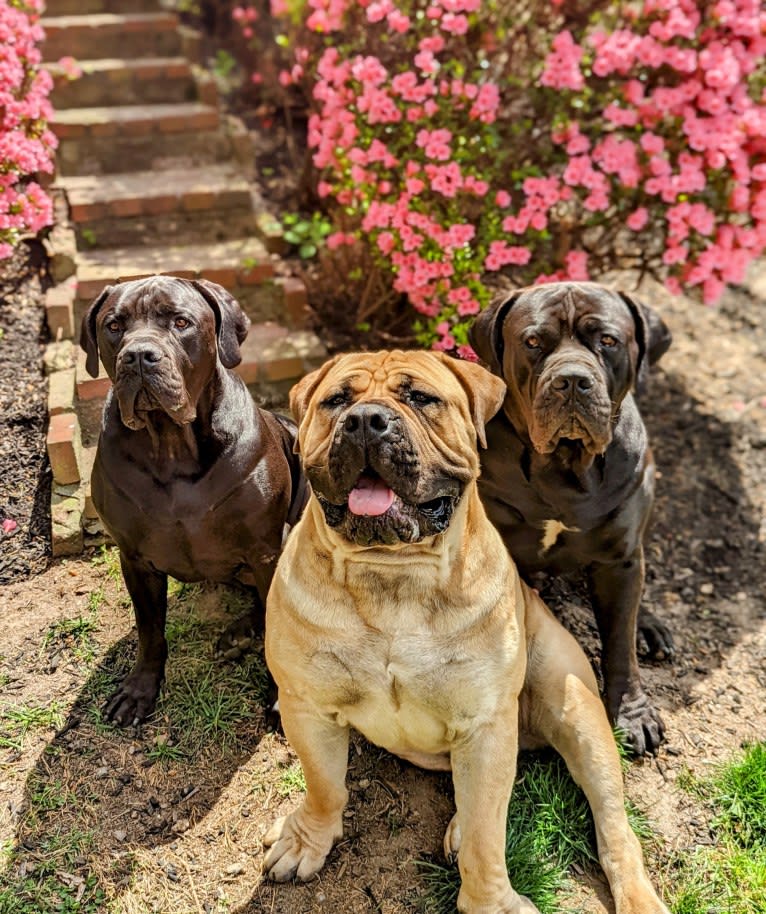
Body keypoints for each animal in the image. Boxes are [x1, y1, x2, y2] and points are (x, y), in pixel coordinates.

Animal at [78, 274, 306, 724]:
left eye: (180, 322)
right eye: (114, 326)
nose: (138, 356)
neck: (171, 445)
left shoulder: (266, 551)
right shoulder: (134, 557)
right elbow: (149, 629)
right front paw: (139, 689)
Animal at [472, 282, 676, 752]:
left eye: (608, 340)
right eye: (533, 341)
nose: (571, 380)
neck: (565, 466)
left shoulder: (618, 560)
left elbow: (619, 643)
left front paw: (633, 714)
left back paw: (650, 628)